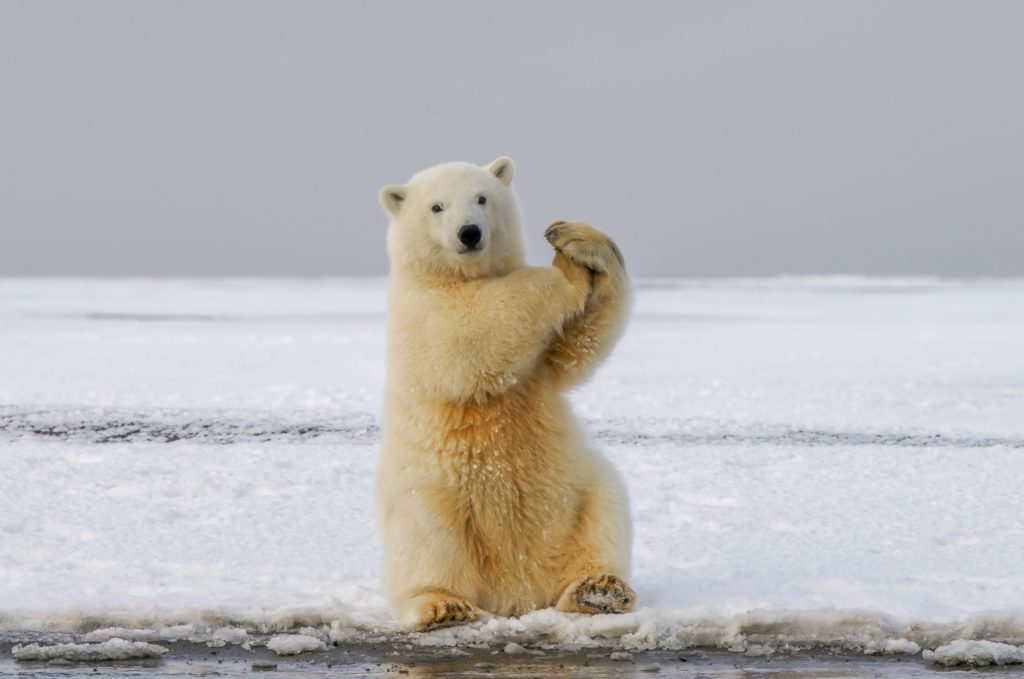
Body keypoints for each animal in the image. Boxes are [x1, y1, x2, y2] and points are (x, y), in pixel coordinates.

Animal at [376, 156, 630, 630]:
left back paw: (599, 590)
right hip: (429, 495)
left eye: (482, 198)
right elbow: (473, 329)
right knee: (428, 542)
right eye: (436, 207)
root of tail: (517, 592)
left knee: (605, 512)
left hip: (578, 491)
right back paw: (445, 605)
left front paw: (575, 240)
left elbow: (577, 347)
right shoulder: (422, 309)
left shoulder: (542, 368)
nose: (469, 233)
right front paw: (566, 274)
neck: (457, 276)